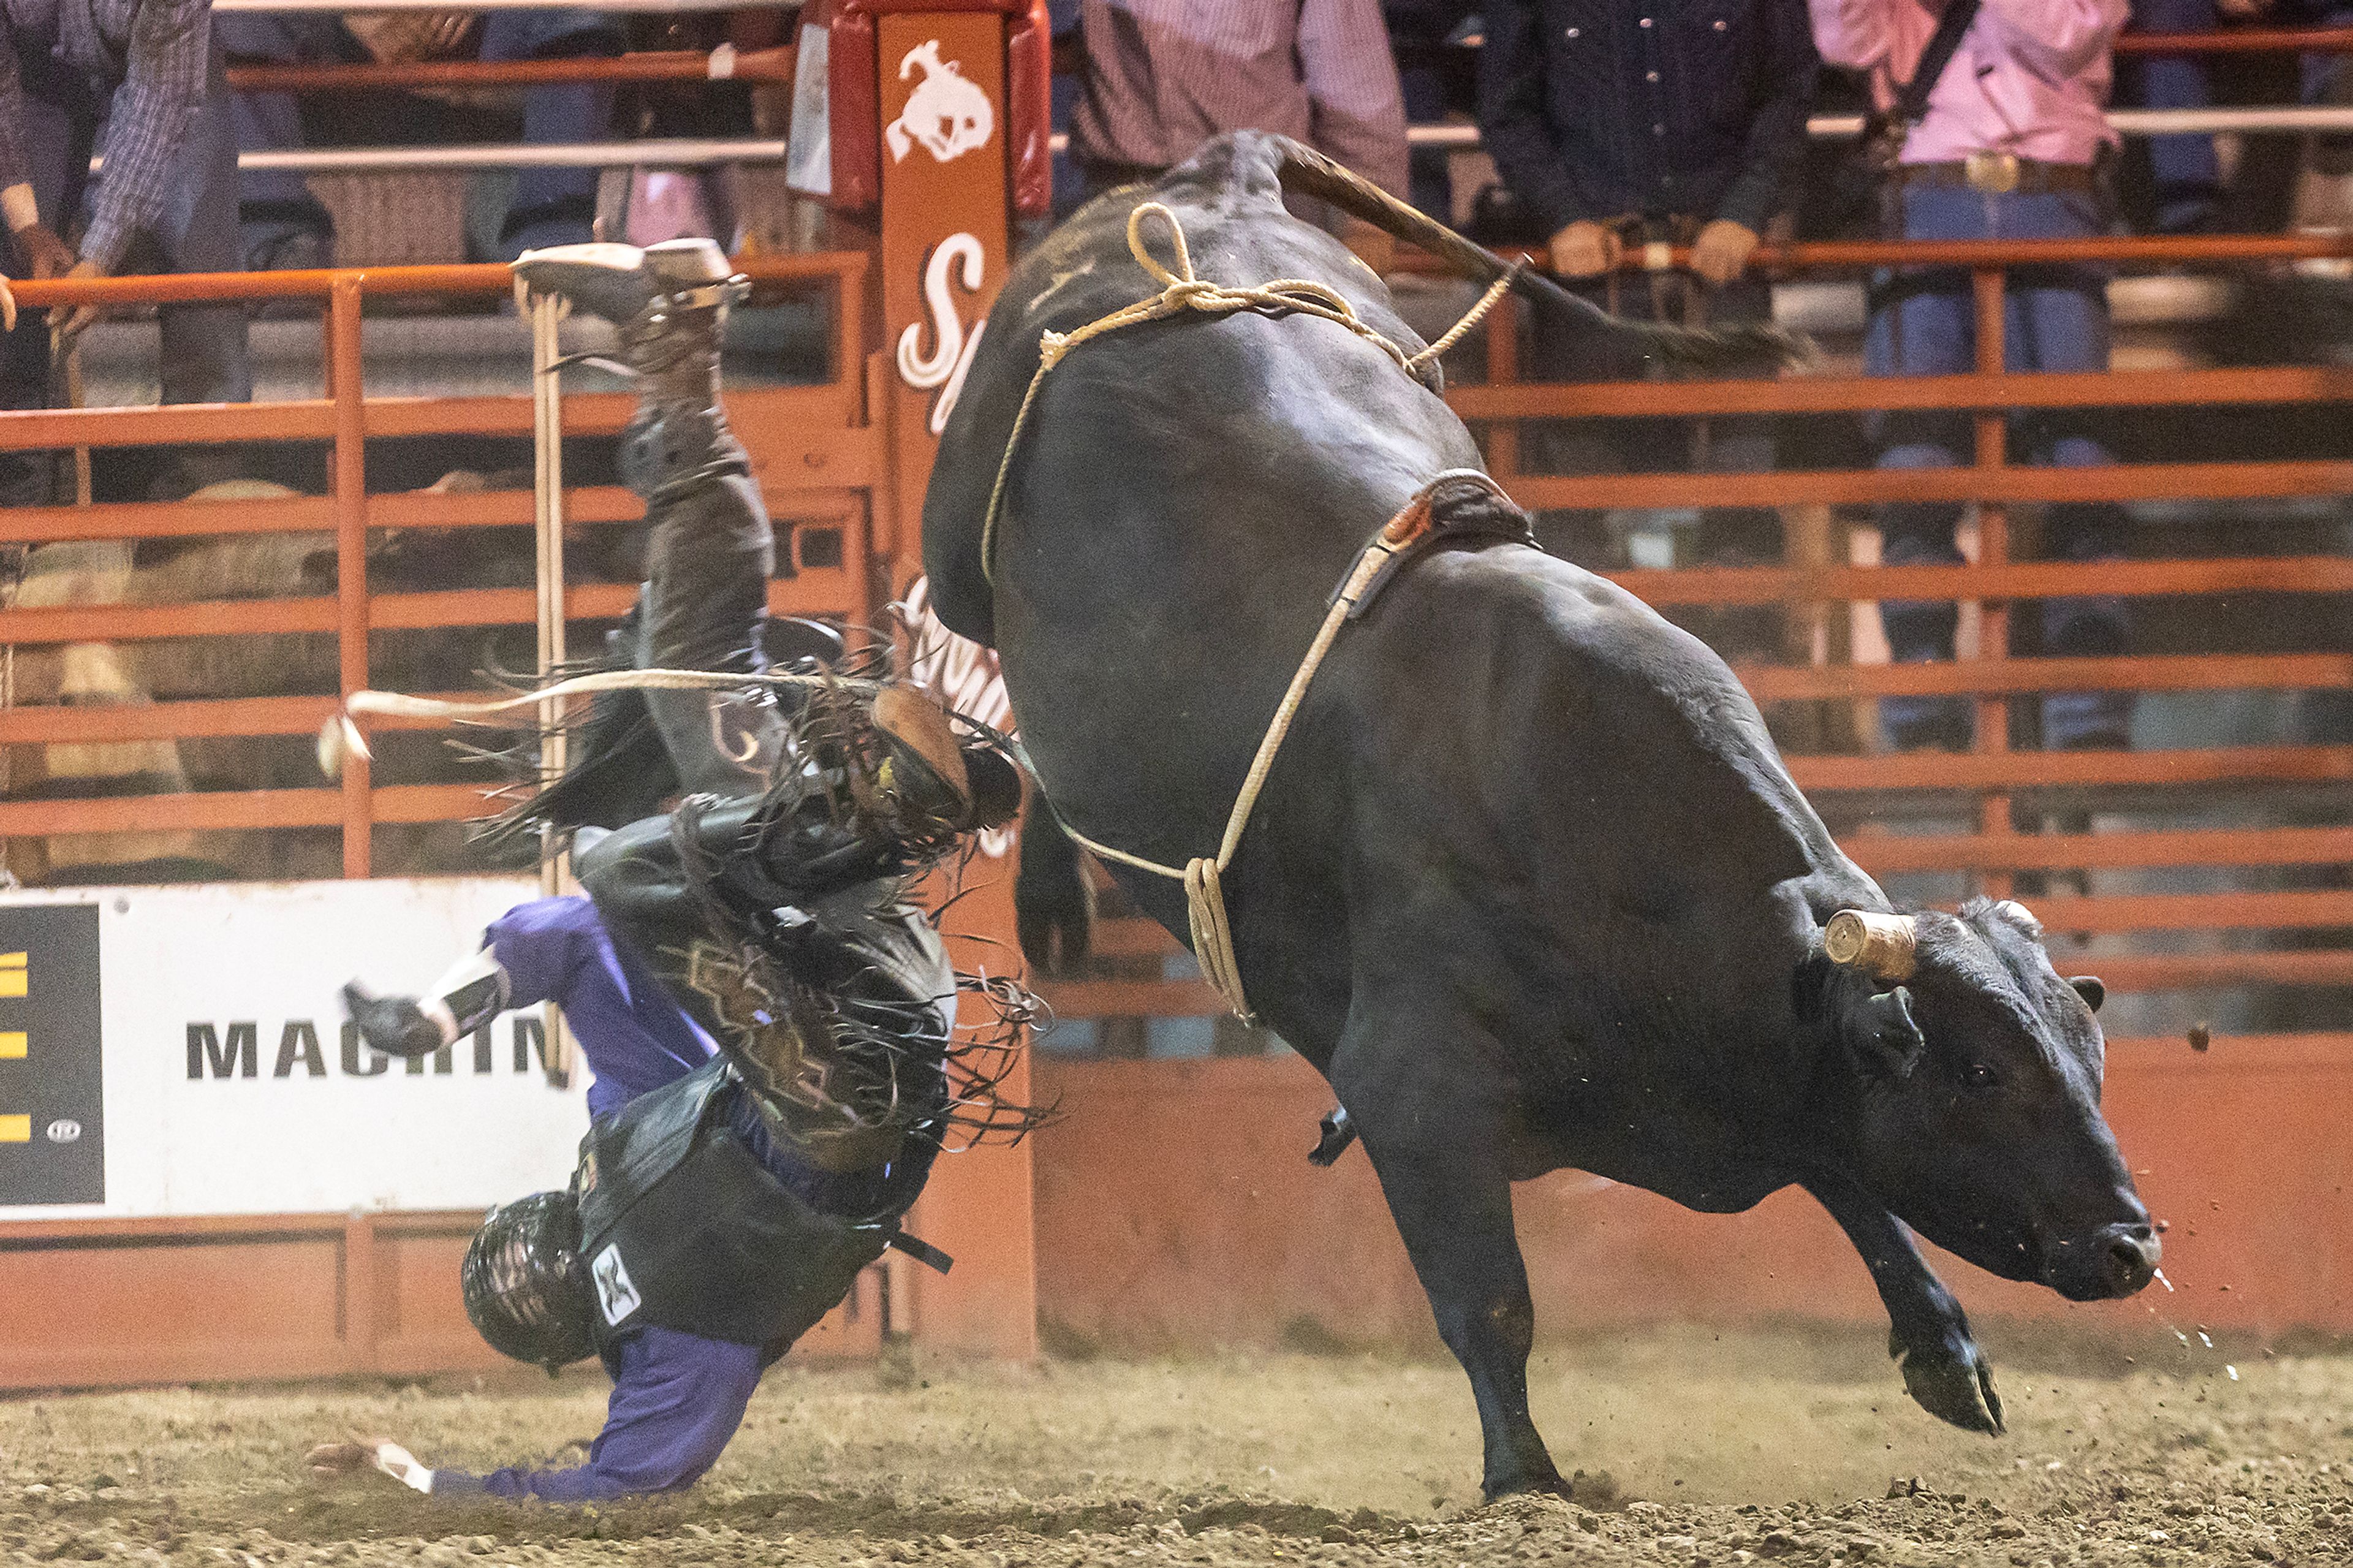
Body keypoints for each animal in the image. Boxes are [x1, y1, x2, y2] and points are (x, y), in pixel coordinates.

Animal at [912, 131, 2155, 1488]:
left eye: (2088, 1053)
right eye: (1980, 1068)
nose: (2132, 1243)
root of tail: (1216, 174)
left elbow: (1853, 1178)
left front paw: (1947, 1350)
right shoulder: (1417, 1095)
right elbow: (1492, 1299)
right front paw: (1528, 1475)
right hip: (956, 550)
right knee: (999, 696)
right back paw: (1049, 900)